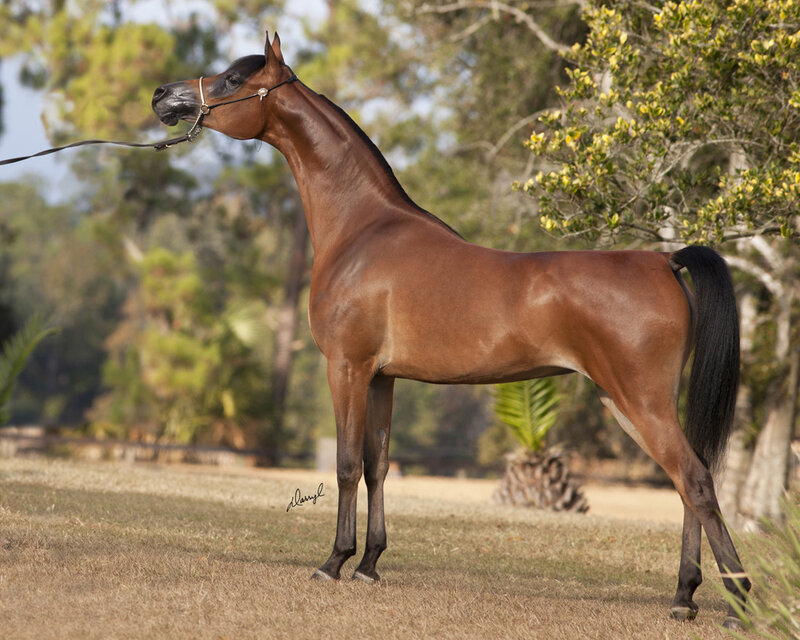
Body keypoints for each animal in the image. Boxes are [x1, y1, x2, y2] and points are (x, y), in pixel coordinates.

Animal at [152, 32, 749, 628]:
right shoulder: (382, 378)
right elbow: (377, 465)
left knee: (695, 480)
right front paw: (370, 564)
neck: (362, 230)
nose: (163, 95)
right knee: (687, 482)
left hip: (640, 401)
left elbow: (345, 465)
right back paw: (684, 597)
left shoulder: (346, 367)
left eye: (233, 79)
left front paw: (334, 561)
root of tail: (665, 262)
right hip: (628, 402)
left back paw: (738, 604)